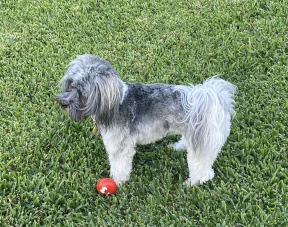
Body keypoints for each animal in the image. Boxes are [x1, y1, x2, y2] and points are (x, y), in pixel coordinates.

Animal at [55, 54, 236, 186]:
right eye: (71, 85)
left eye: (82, 94)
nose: (63, 103)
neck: (115, 104)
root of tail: (216, 100)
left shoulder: (120, 147)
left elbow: (119, 166)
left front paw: (117, 182)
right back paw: (178, 147)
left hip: (203, 141)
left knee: (203, 169)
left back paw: (192, 183)